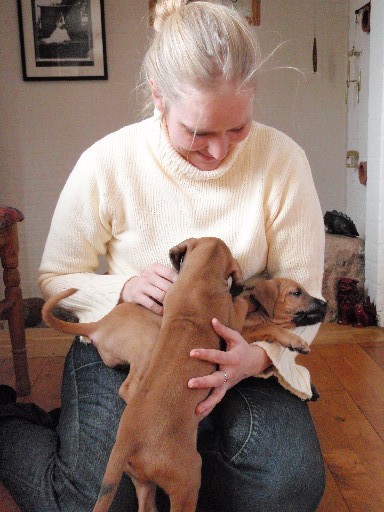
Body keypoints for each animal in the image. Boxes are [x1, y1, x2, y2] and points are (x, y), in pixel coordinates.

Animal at [42, 238, 249, 512]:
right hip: (188, 479)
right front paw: (249, 296)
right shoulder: (229, 320)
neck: (200, 278)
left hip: (142, 481)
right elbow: (241, 308)